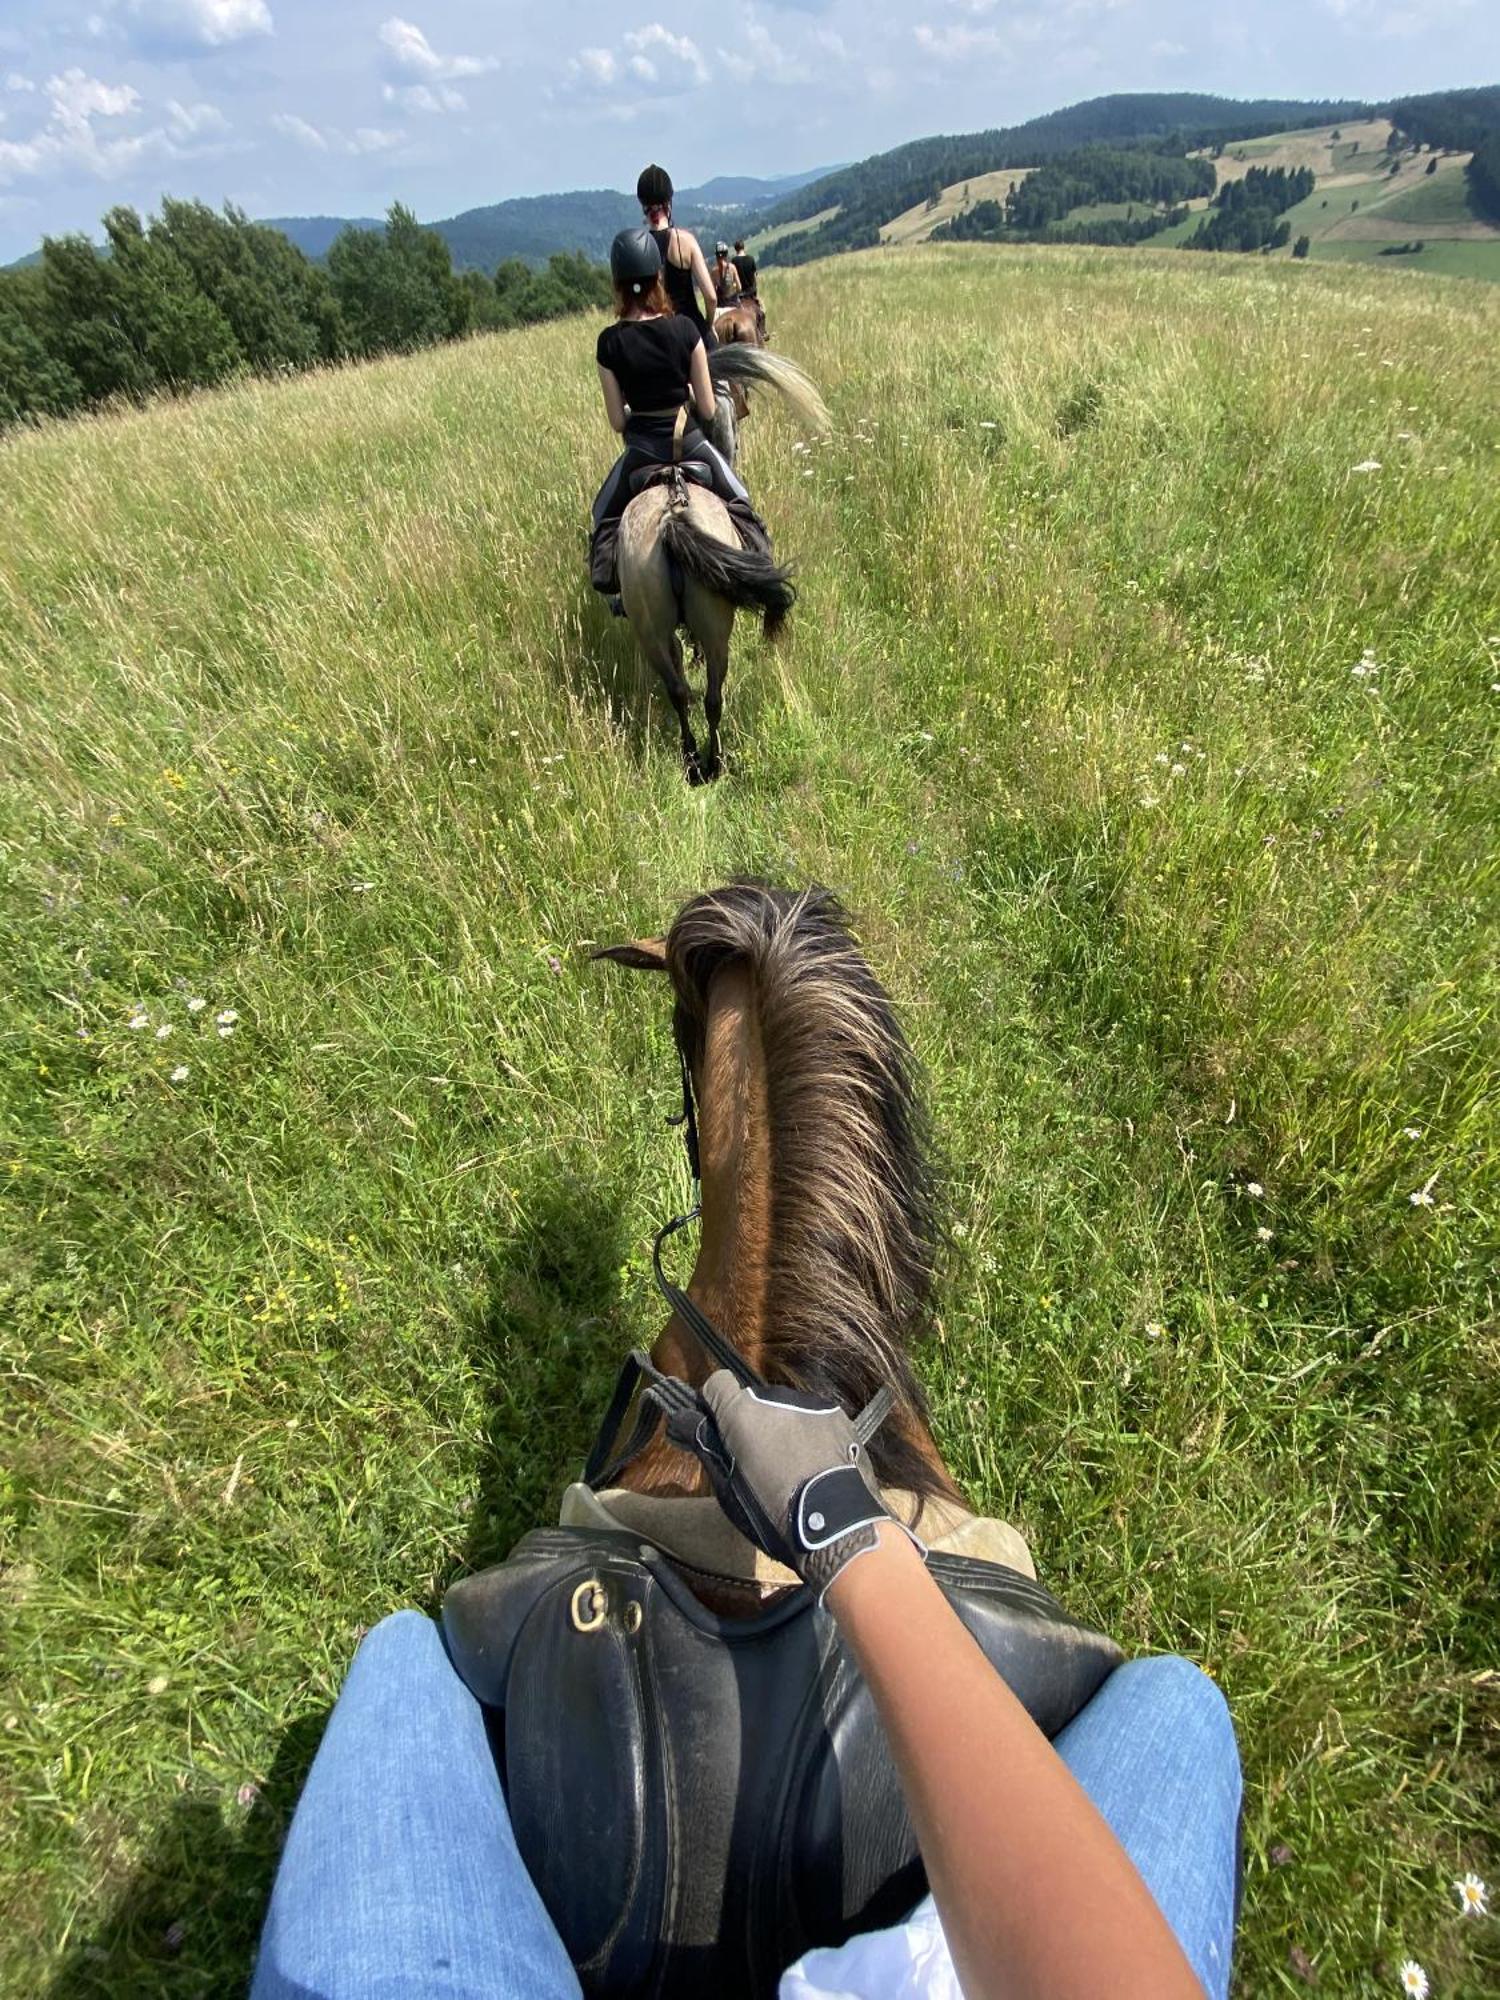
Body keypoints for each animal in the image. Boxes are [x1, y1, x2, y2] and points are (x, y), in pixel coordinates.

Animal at [612, 344, 828, 780]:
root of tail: (672, 514)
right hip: (713, 629)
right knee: (713, 695)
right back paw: (716, 761)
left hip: (653, 629)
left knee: (680, 692)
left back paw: (693, 758)